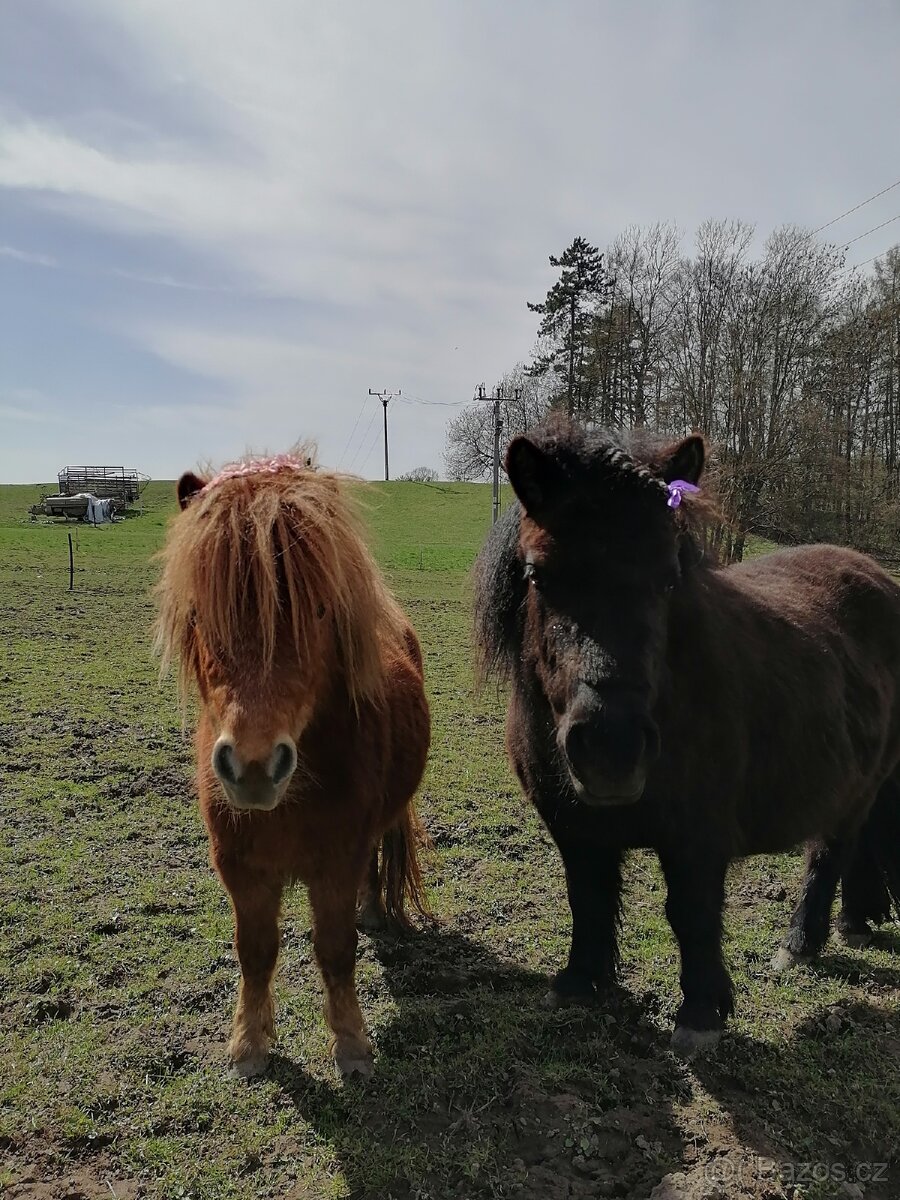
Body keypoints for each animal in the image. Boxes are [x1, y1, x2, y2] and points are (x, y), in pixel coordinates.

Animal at [155, 451, 430, 1078]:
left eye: (320, 610)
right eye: (200, 614)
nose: (254, 766)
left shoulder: (336, 860)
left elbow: (336, 949)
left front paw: (351, 1046)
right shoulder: (241, 867)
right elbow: (255, 952)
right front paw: (249, 1045)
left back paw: (373, 912)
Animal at [474, 415, 900, 1054]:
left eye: (669, 576)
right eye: (537, 575)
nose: (612, 750)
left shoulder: (697, 835)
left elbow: (691, 913)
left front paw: (700, 1012)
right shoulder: (573, 827)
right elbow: (587, 898)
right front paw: (579, 983)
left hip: (857, 788)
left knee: (831, 848)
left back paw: (802, 942)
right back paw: (852, 923)